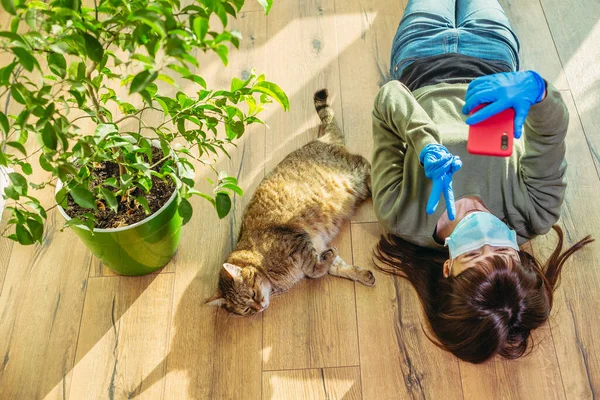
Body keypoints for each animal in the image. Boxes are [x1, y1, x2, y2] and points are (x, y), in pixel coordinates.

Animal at [207, 88, 376, 316]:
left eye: (252, 294)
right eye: (246, 310)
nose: (259, 308)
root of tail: (320, 139)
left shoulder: (299, 240)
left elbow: (314, 270)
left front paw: (328, 261)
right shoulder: (315, 244)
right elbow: (334, 266)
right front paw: (359, 273)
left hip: (355, 172)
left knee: (367, 165)